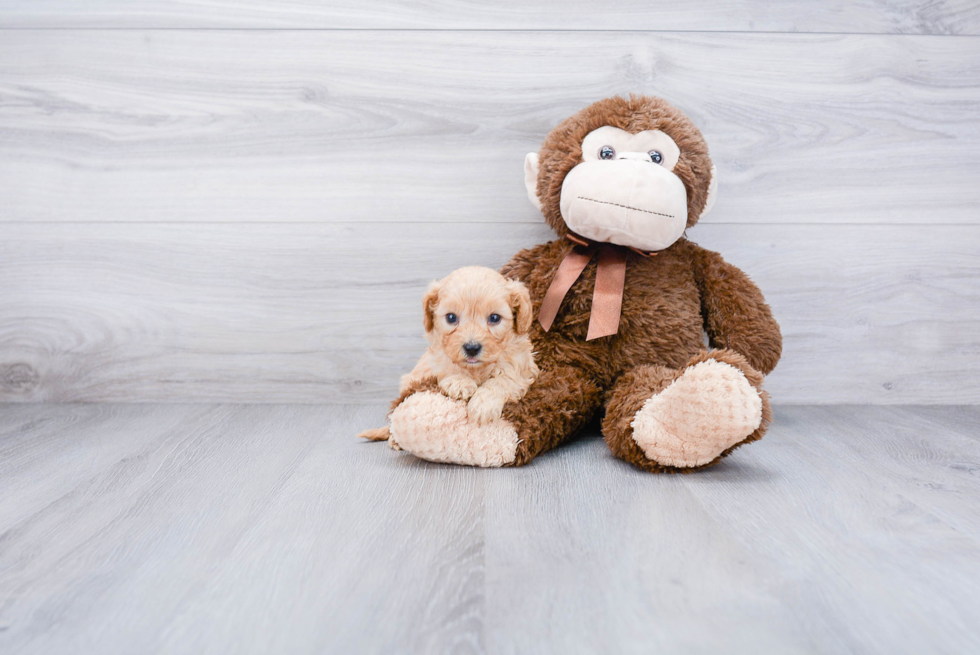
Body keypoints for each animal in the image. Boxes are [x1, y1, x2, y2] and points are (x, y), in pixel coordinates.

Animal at [360, 264, 540, 444]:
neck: (476, 369)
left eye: (495, 318)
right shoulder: (431, 364)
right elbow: (447, 366)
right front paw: (460, 382)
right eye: (451, 317)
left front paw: (483, 405)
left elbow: (503, 380)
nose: (472, 348)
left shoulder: (522, 368)